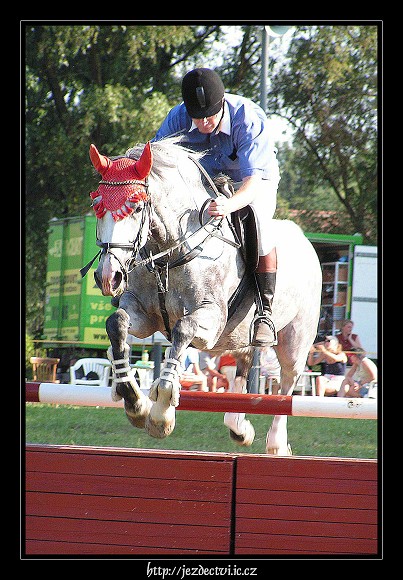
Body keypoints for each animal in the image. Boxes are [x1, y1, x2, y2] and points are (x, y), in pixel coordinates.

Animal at [86, 138, 322, 456]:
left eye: (135, 207)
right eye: (97, 205)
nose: (108, 277)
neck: (170, 252)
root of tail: (306, 241)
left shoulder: (210, 317)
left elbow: (182, 330)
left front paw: (161, 413)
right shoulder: (144, 317)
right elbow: (117, 324)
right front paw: (133, 400)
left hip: (295, 337)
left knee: (287, 383)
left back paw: (276, 443)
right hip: (238, 335)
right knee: (244, 364)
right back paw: (238, 428)